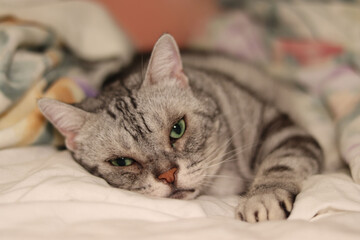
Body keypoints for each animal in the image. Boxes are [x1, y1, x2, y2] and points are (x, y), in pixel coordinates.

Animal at [38, 33, 322, 223]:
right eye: (121, 162)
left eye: (178, 129)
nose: (168, 175)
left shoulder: (278, 126)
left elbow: (281, 163)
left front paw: (261, 199)